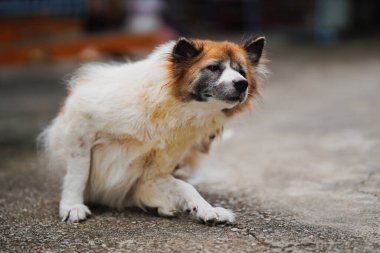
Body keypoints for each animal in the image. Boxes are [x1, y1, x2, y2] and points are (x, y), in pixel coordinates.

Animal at [38, 37, 266, 223]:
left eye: (242, 71)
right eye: (213, 68)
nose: (242, 84)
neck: (171, 108)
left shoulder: (154, 172)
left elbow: (186, 187)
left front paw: (207, 209)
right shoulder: (81, 126)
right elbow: (78, 173)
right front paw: (72, 206)